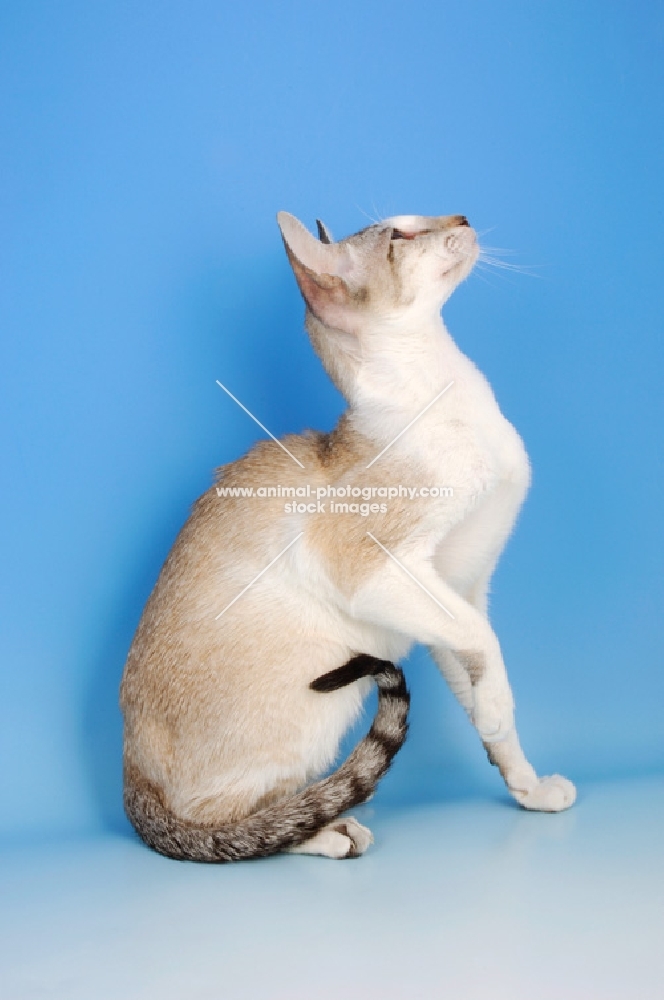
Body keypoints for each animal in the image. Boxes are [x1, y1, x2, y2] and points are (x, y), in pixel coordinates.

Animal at [119, 209, 576, 860]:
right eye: (400, 235)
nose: (462, 217)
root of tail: (130, 781)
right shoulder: (377, 574)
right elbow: (485, 641)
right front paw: (497, 714)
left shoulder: (456, 588)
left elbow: (480, 675)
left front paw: (527, 788)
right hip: (325, 685)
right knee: (229, 823)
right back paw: (325, 830)